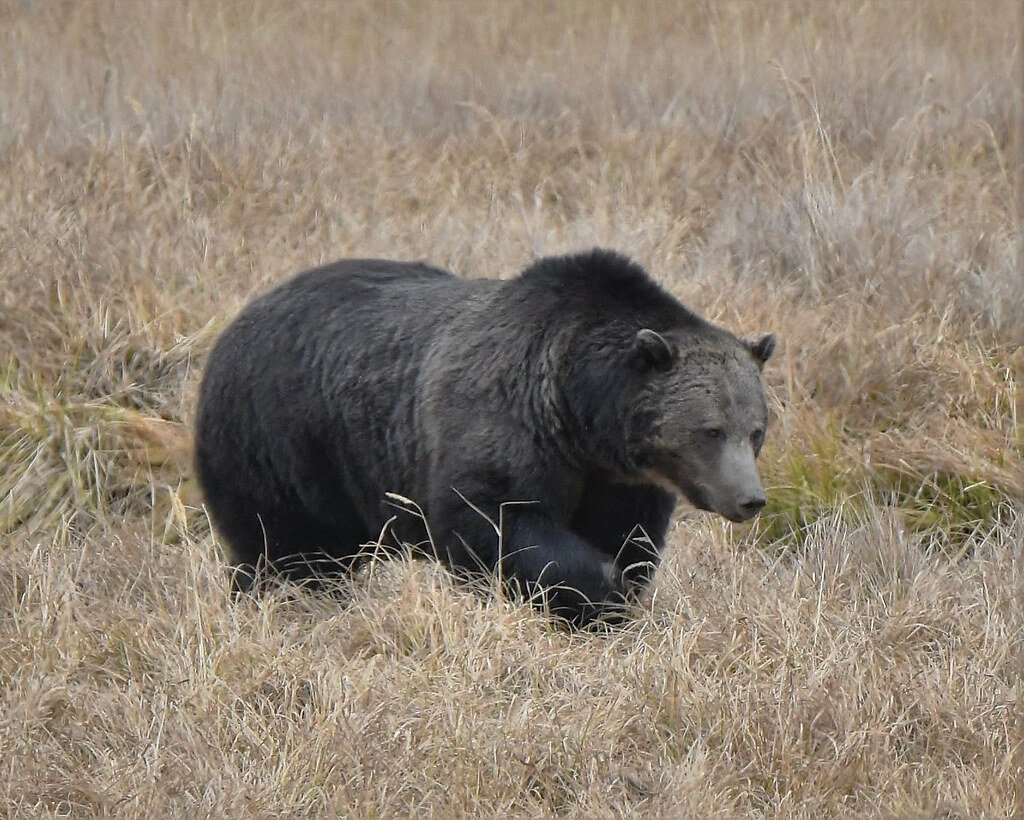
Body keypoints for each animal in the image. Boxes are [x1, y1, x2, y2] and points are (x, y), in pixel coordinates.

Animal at [194, 249, 775, 625]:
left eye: (756, 430)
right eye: (710, 429)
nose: (750, 499)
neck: (582, 414)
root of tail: (236, 323)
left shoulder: (616, 480)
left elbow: (627, 538)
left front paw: (616, 597)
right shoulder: (507, 424)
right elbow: (497, 521)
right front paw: (596, 591)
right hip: (284, 439)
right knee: (283, 547)